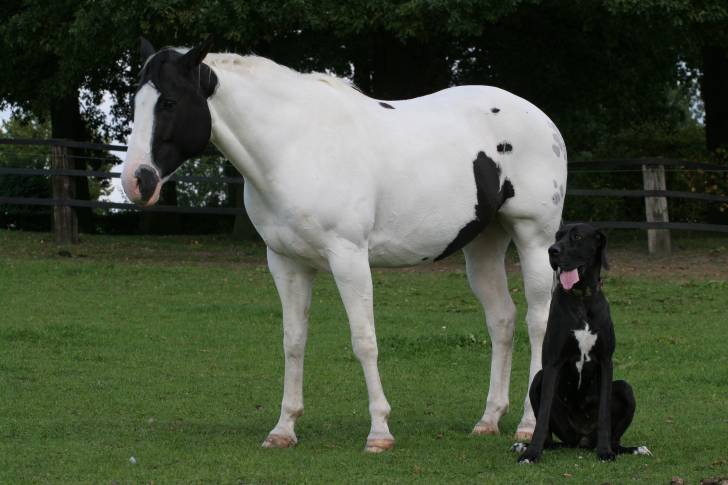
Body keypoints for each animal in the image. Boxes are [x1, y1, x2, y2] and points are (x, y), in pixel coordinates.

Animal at [121, 36, 567, 453]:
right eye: (135, 104)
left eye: (170, 102)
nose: (136, 181)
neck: (294, 146)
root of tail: (541, 119)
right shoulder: (286, 263)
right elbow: (293, 341)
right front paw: (283, 429)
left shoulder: (348, 257)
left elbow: (364, 341)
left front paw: (380, 432)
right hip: (483, 244)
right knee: (502, 320)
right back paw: (488, 420)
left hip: (534, 239)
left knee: (538, 322)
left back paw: (528, 424)